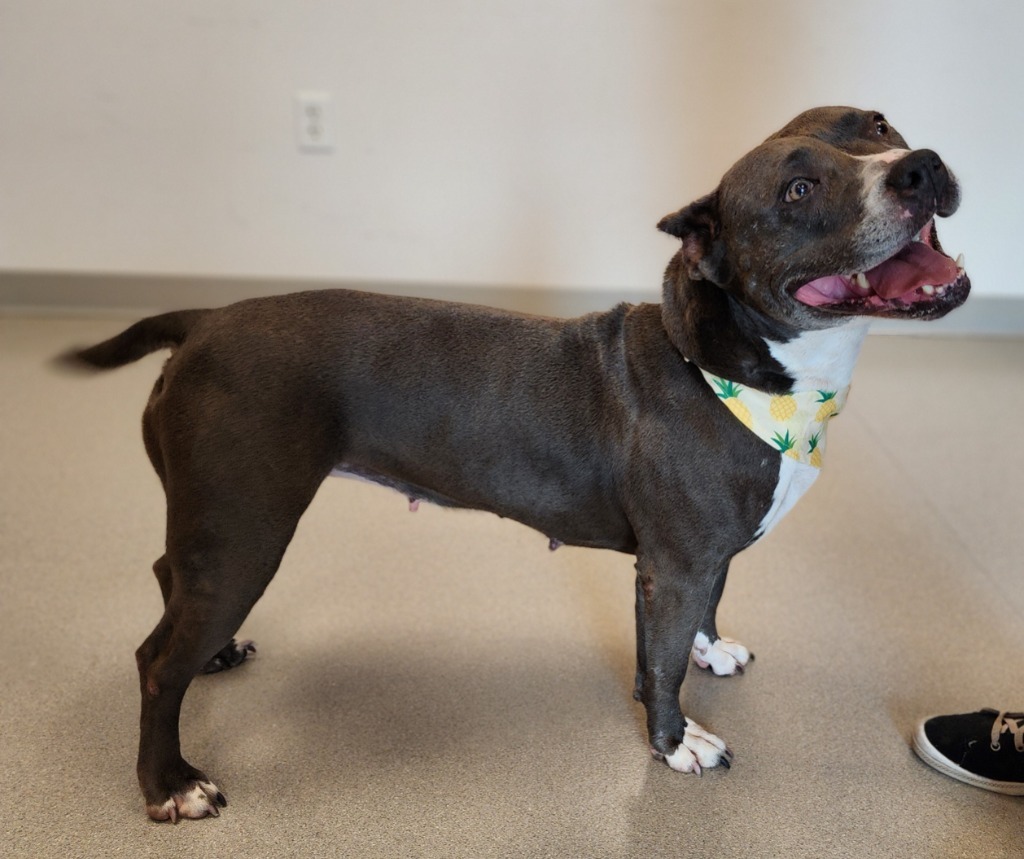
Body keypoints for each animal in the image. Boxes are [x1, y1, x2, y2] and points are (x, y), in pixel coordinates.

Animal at [59, 107, 970, 819]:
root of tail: (202, 320)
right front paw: (674, 743)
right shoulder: (674, 566)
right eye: (797, 192)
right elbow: (664, 662)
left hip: (214, 529)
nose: (919, 167)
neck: (731, 365)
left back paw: (209, 659)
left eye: (877, 125)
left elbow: (689, 628)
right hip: (247, 531)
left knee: (168, 582)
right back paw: (169, 782)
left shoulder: (693, 559)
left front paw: (708, 654)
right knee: (155, 662)